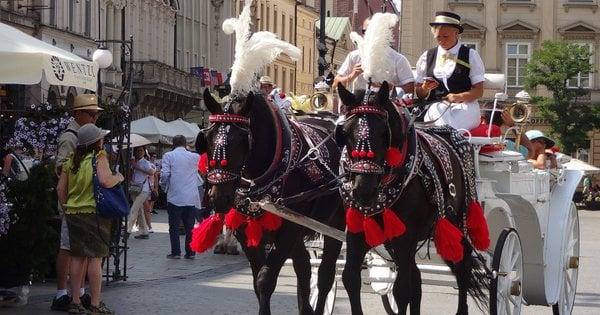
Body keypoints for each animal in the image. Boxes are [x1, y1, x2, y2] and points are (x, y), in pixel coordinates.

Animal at [197, 89, 344, 315]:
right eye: (207, 137)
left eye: (242, 140)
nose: (219, 197)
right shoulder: (246, 231)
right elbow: (258, 282)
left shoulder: (289, 230)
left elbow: (265, 279)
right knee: (304, 268)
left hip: (335, 223)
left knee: (325, 275)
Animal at [336, 82, 490, 314]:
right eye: (344, 133)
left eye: (384, 133)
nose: (363, 190)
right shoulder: (357, 231)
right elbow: (350, 278)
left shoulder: (405, 238)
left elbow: (401, 290)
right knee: (416, 279)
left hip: (458, 223)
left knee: (462, 269)